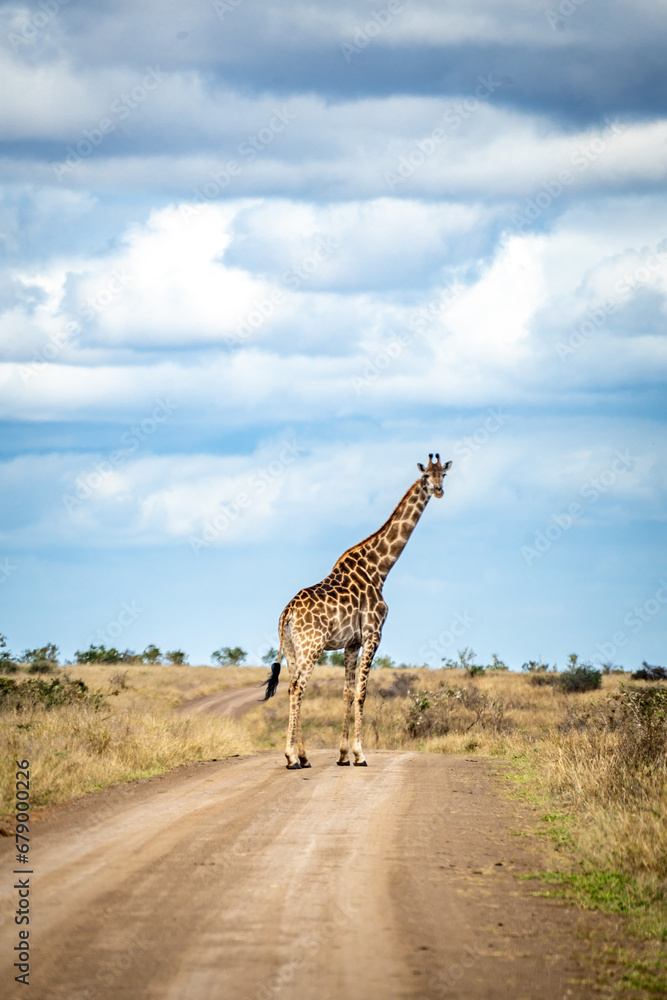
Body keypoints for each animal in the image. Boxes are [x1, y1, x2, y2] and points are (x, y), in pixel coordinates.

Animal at [263, 454, 452, 769]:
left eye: (444, 475)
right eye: (426, 475)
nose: (438, 491)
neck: (379, 569)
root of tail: (287, 612)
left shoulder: (351, 643)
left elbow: (347, 692)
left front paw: (342, 755)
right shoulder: (374, 635)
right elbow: (362, 692)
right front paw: (360, 754)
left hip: (291, 648)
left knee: (292, 687)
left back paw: (303, 756)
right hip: (311, 646)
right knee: (298, 688)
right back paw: (291, 757)